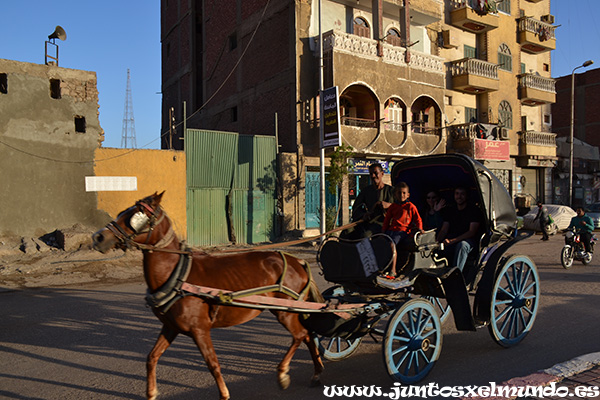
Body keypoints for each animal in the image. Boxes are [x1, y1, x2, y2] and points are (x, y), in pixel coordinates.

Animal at [91, 192, 324, 398]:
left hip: (286, 311)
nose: (98, 237)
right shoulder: (170, 327)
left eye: (136, 216)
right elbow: (152, 357)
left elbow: (213, 364)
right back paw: (317, 373)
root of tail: (297, 261)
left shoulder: (199, 330)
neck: (177, 275)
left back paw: (283, 373)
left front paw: (224, 394)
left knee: (300, 335)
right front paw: (151, 393)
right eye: (123, 211)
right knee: (308, 335)